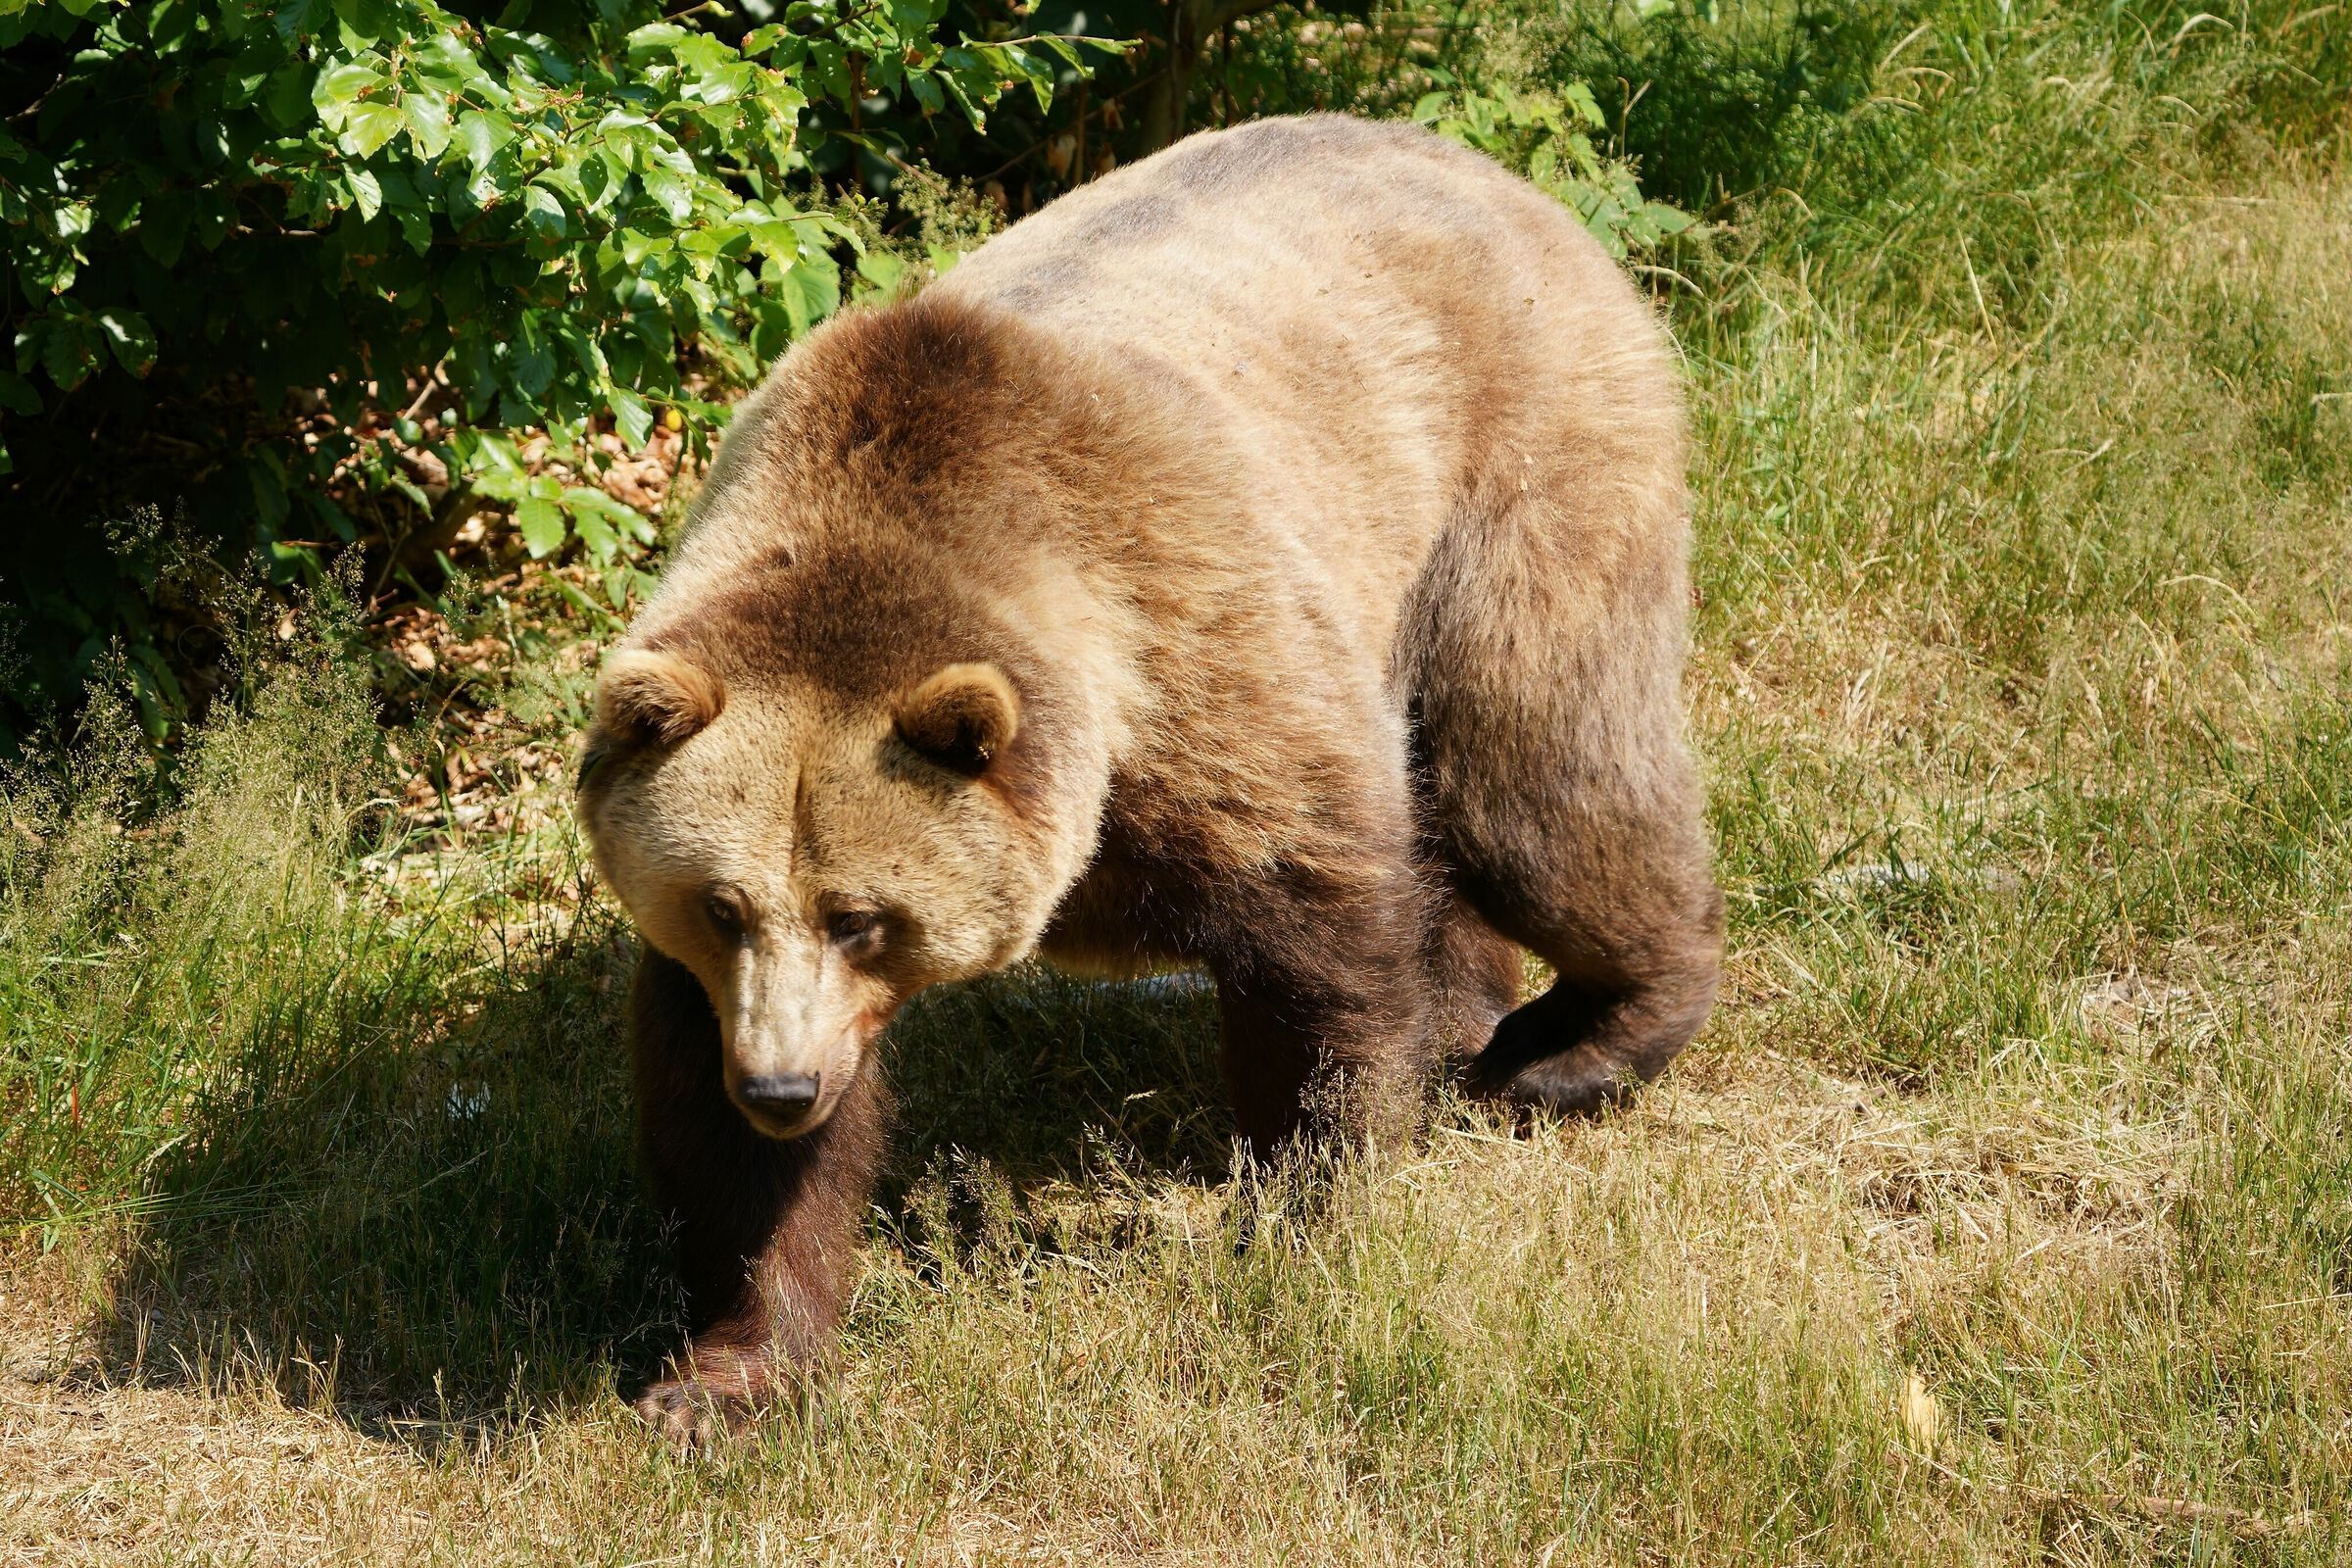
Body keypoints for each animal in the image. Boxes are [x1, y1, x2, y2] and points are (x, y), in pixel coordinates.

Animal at [575, 113, 1724, 1443]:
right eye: (721, 905)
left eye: (862, 915)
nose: (780, 1082)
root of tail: (1491, 174)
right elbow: (729, 1149)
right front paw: (724, 1373)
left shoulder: (1197, 658)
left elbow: (1318, 954)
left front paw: (1297, 1219)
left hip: (1515, 466)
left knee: (1535, 775)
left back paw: (1571, 1047)